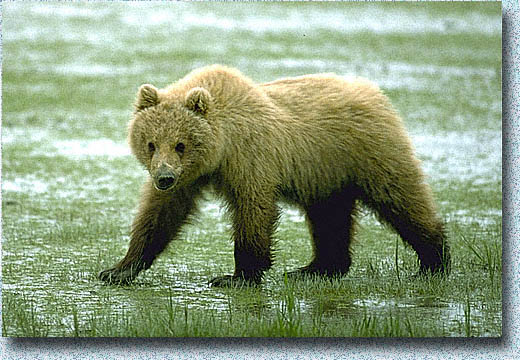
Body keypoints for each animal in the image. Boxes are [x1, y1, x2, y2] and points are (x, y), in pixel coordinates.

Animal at [99, 64, 448, 286]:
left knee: (401, 198)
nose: (164, 177)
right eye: (151, 143)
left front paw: (236, 276)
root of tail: (375, 92)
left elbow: (253, 209)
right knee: (329, 217)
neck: (221, 149)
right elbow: (159, 215)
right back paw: (314, 269)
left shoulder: (251, 157)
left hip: (368, 153)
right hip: (327, 173)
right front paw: (118, 270)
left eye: (181, 144)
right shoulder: (191, 177)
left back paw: (434, 261)